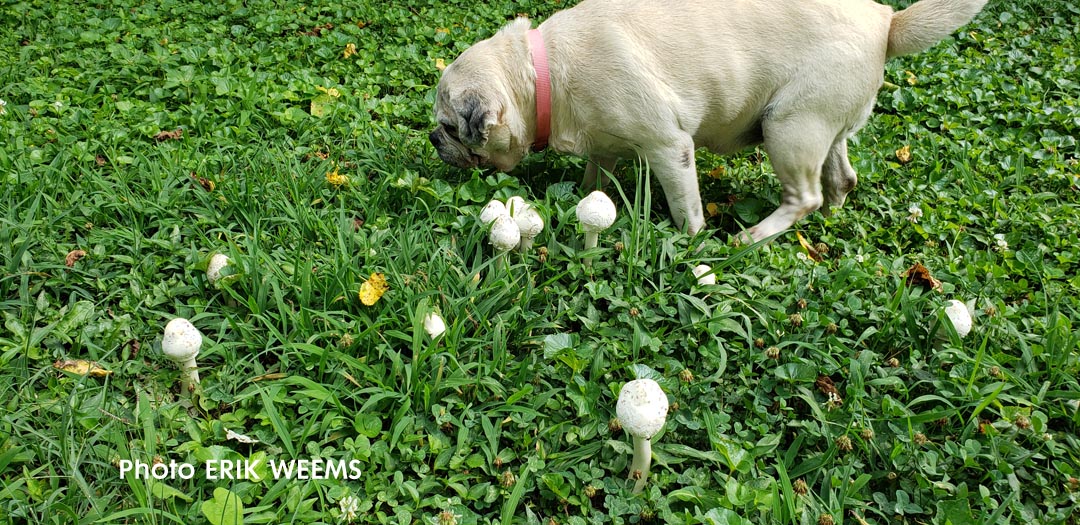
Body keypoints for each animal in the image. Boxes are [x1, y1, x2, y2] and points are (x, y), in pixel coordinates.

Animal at [427, 0, 989, 241]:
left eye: (452, 127)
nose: (433, 138)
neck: (540, 73)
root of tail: (887, 22)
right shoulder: (603, 144)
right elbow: (596, 176)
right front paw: (588, 198)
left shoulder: (668, 147)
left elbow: (685, 208)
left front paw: (689, 242)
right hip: (823, 124)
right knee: (841, 177)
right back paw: (831, 214)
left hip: (789, 127)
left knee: (801, 197)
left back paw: (752, 237)